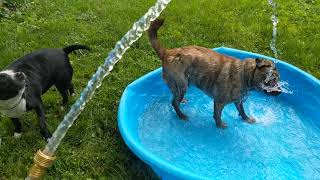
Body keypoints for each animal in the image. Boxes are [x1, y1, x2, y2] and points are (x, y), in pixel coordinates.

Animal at [148, 18, 280, 128]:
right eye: (272, 79)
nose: (279, 92)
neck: (245, 74)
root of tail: (167, 53)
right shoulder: (219, 102)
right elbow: (217, 115)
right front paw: (220, 125)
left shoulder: (238, 100)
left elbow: (242, 110)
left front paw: (246, 119)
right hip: (181, 83)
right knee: (174, 103)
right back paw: (181, 115)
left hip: (178, 84)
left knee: (175, 95)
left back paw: (182, 101)